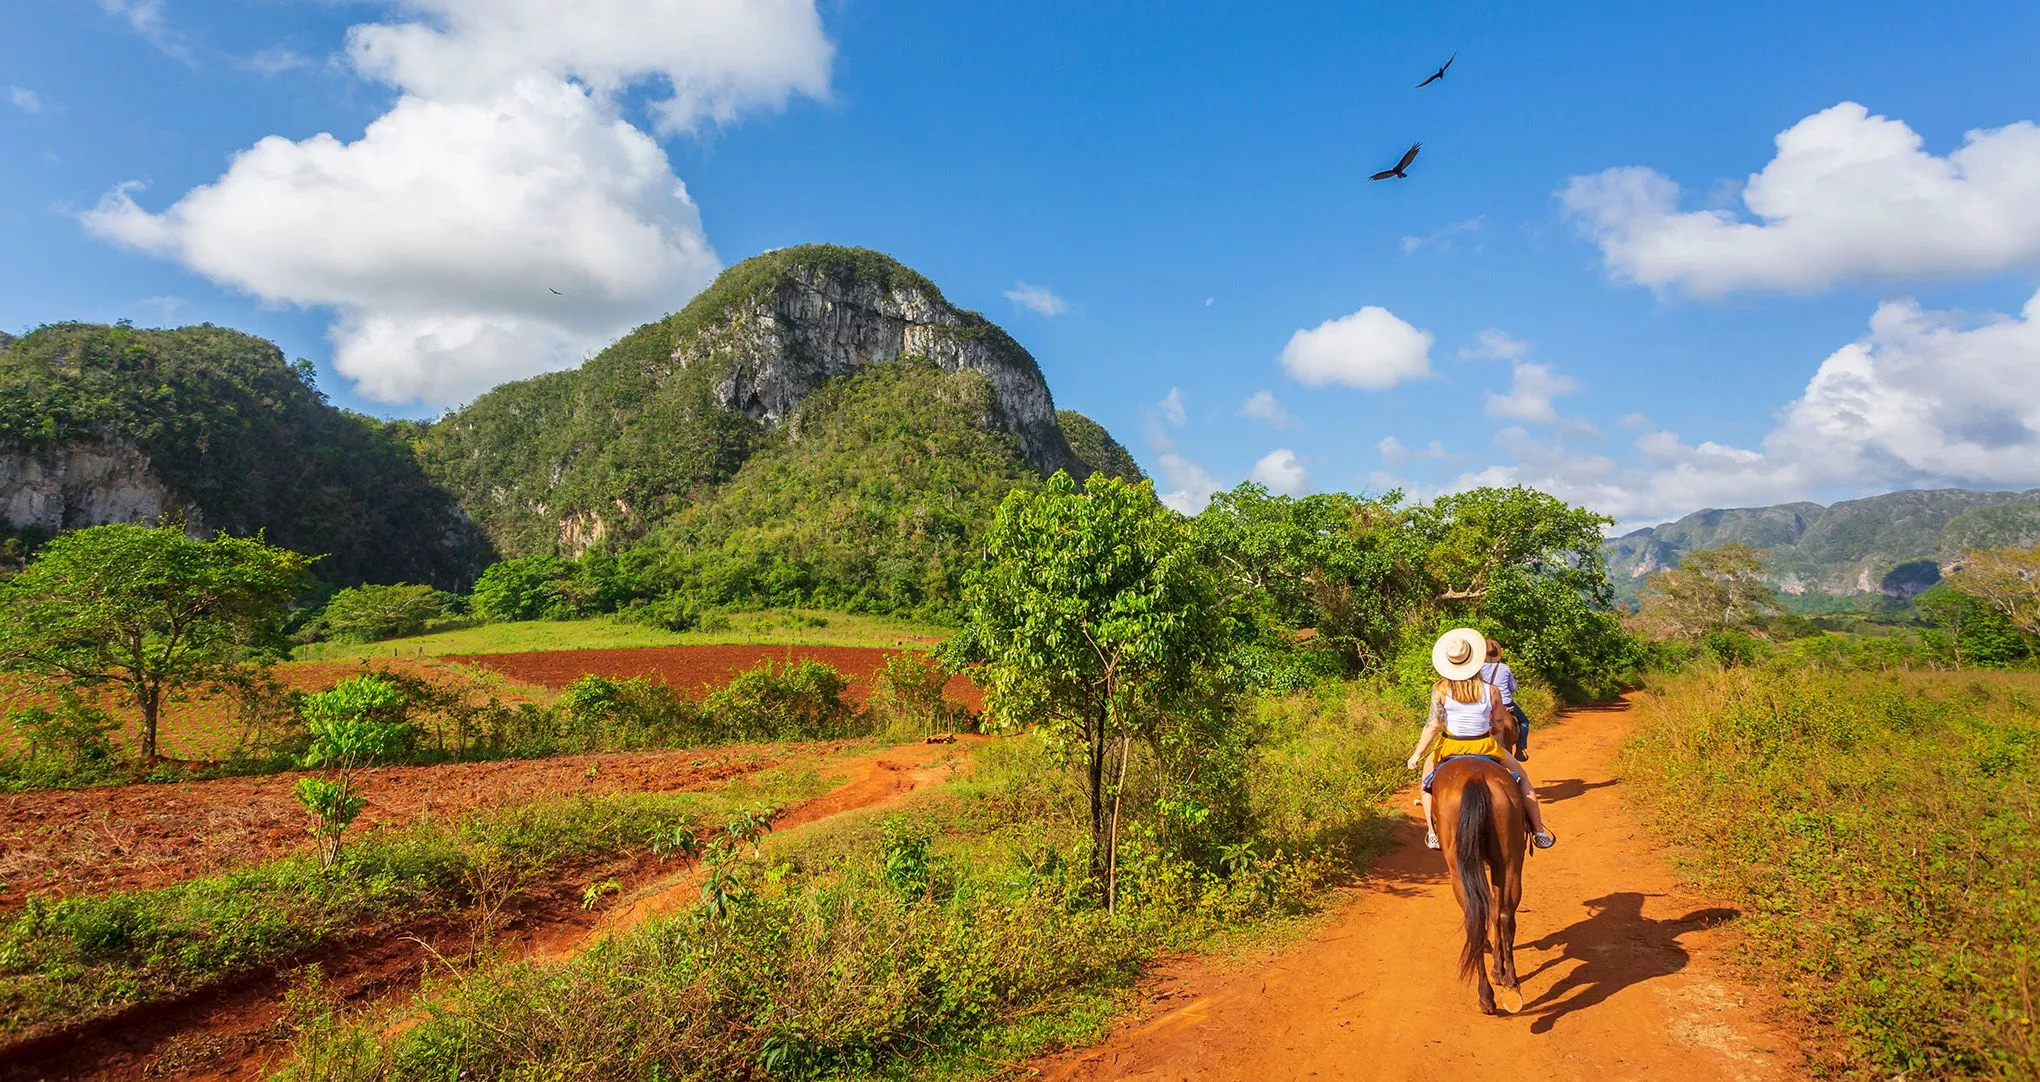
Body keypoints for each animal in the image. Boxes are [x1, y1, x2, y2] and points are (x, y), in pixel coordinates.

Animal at [1428, 751, 1525, 1012]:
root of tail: (1475, 778)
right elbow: (1494, 909)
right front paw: (1498, 970)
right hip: (1509, 861)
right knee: (1504, 916)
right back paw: (1511, 984)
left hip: (1458, 870)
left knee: (1476, 920)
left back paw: (1486, 995)